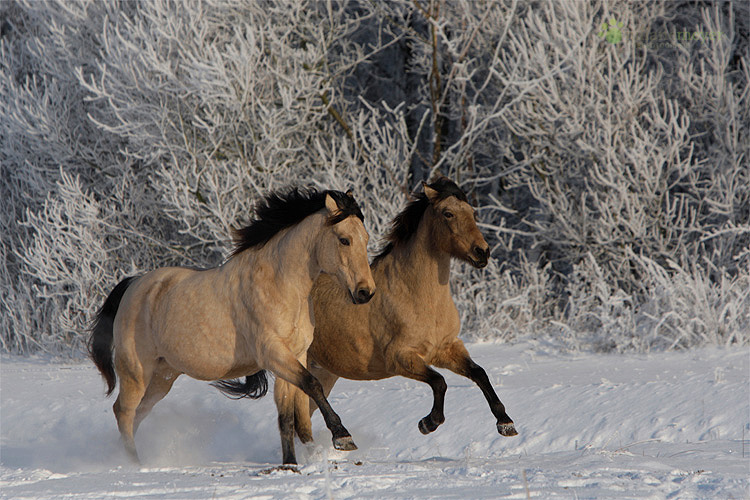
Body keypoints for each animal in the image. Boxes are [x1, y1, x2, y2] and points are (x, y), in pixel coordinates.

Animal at [88, 188, 376, 464]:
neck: (281, 284)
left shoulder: (295, 355)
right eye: (344, 239)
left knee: (138, 414)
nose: (366, 292)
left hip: (162, 376)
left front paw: (294, 462)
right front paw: (342, 437)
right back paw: (133, 463)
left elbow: (291, 415)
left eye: (365, 238)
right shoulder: (273, 354)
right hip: (136, 372)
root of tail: (134, 285)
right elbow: (312, 386)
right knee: (123, 412)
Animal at [276, 178, 516, 462]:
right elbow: (439, 382)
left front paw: (506, 423)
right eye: (448, 213)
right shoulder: (401, 358)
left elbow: (479, 373)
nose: (482, 252)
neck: (419, 297)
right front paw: (427, 423)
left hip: (323, 372)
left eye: (472, 212)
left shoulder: (446, 349)